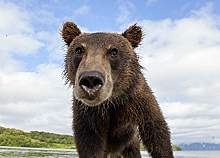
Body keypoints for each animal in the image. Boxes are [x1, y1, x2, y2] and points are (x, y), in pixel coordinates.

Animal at [60, 21, 174, 158]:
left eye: (114, 51)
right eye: (79, 50)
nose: (91, 79)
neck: (113, 101)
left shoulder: (139, 101)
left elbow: (157, 134)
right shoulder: (88, 113)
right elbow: (89, 143)